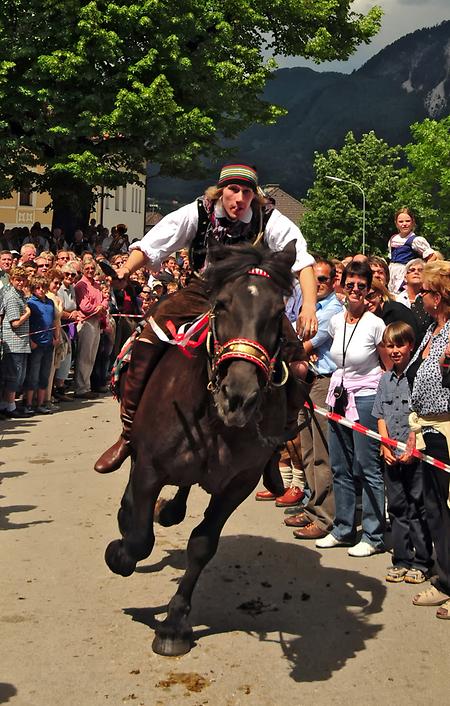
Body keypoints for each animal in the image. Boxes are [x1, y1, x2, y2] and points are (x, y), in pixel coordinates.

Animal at [106, 241, 302, 656]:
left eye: (279, 313)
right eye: (223, 304)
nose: (239, 396)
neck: (213, 420)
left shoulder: (238, 485)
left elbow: (202, 544)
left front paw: (174, 624)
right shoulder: (149, 467)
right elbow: (139, 540)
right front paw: (119, 552)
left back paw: (170, 510)